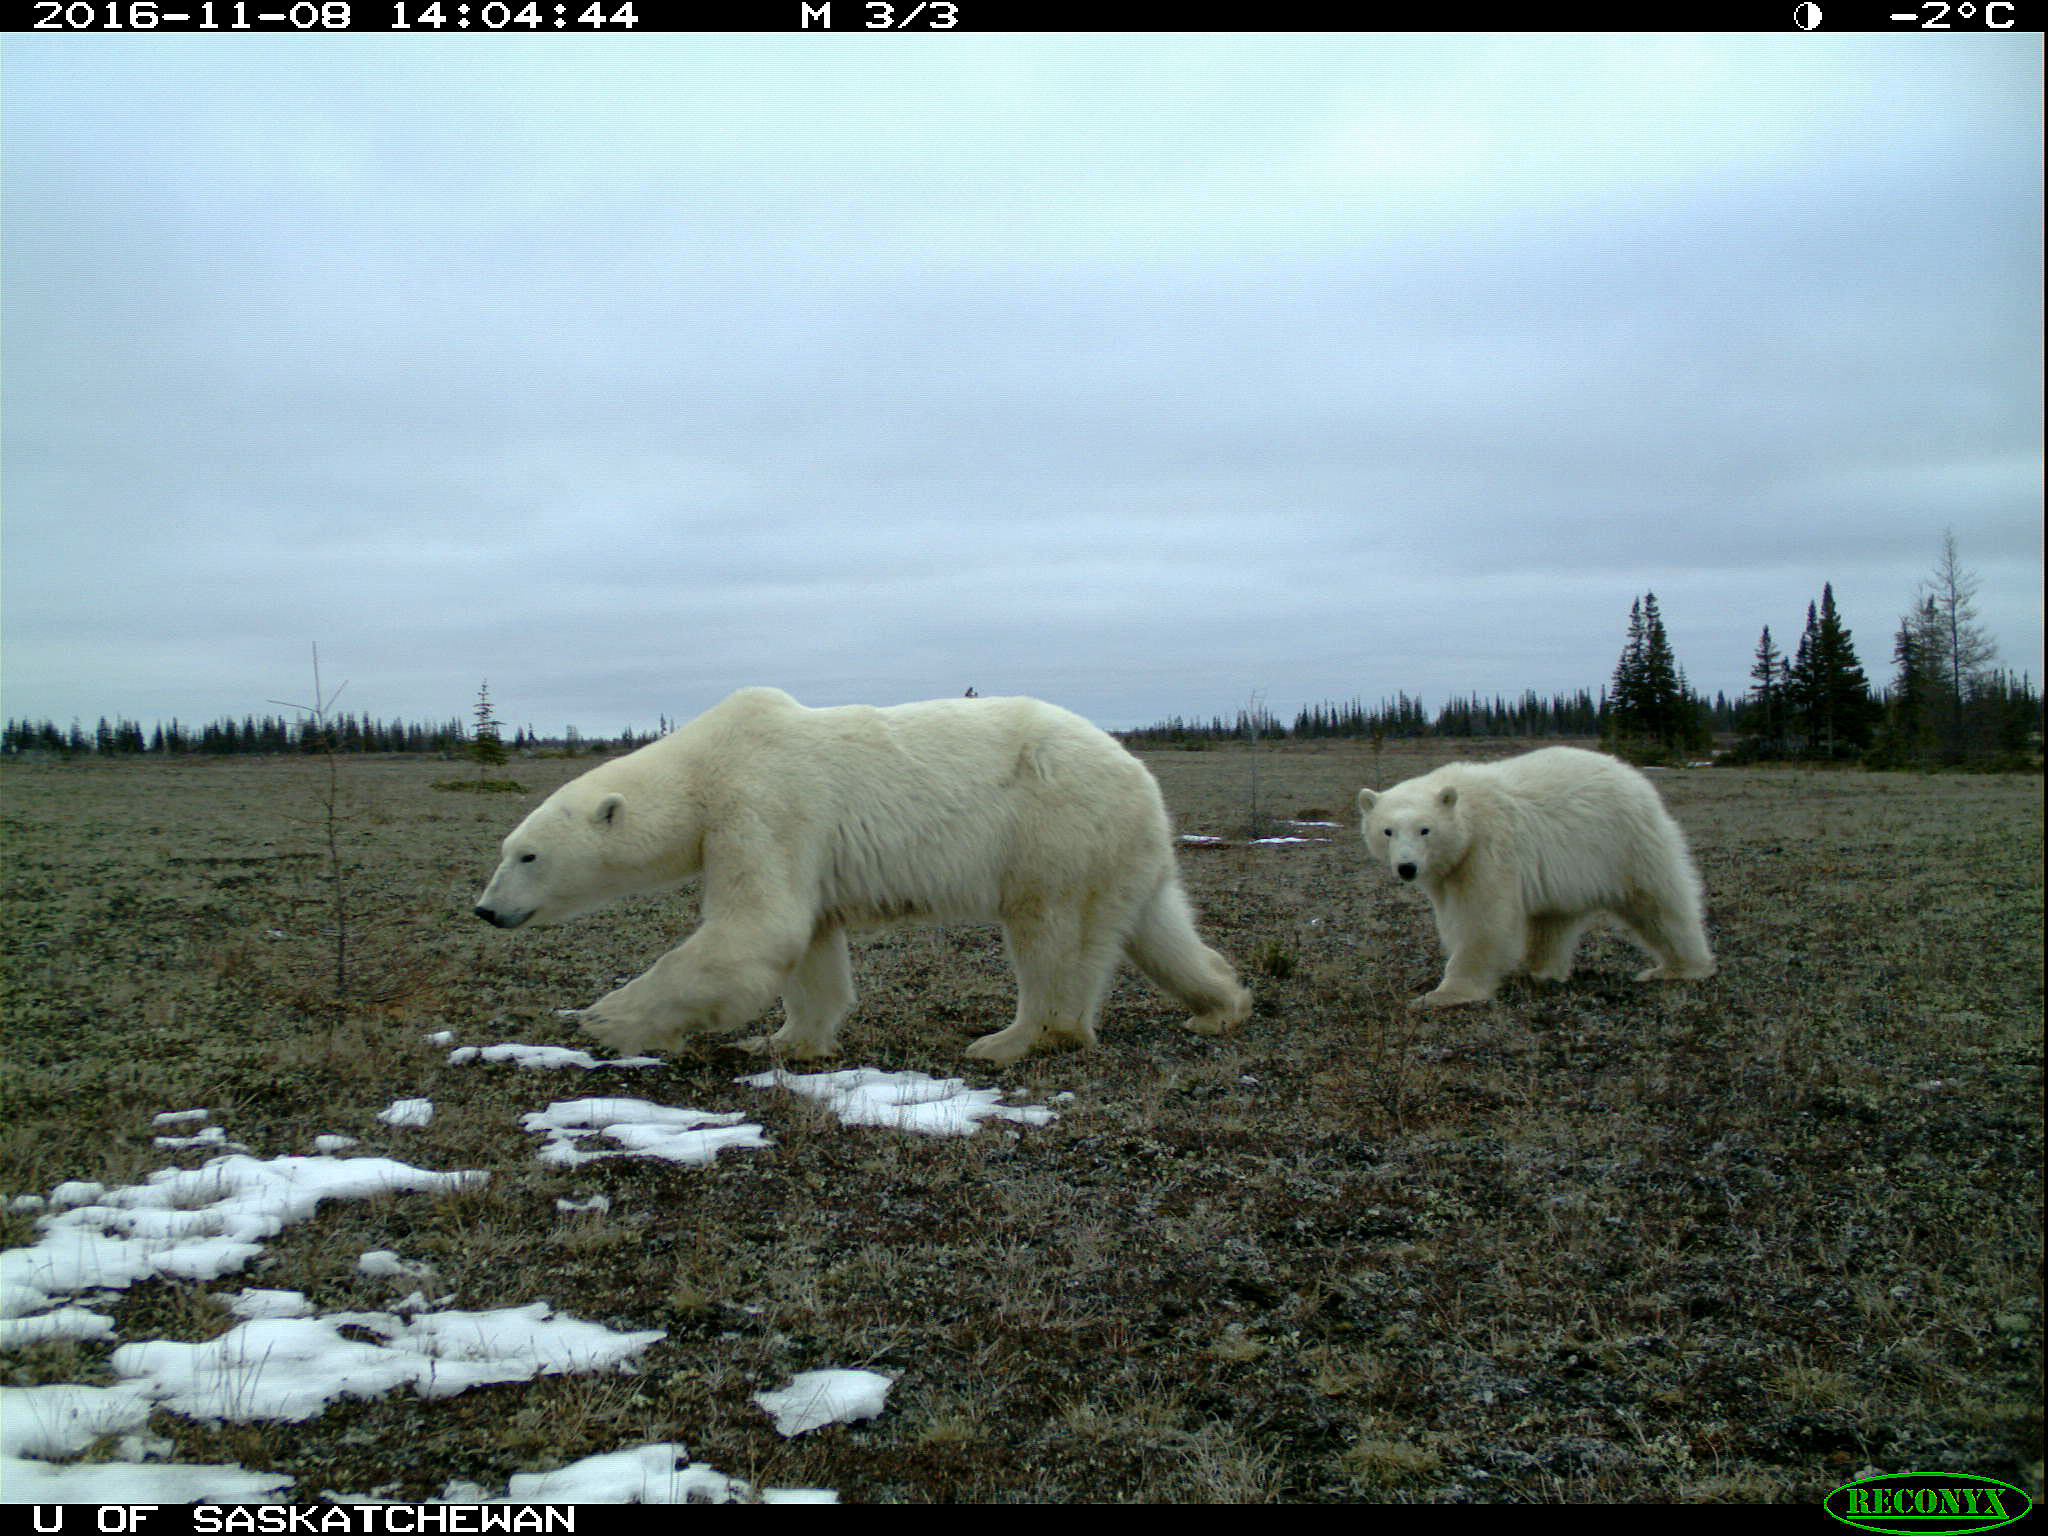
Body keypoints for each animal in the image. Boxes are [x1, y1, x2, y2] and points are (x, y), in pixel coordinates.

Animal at [475, 687, 1252, 1065]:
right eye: (506, 847)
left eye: (527, 855)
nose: (485, 910)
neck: (704, 765)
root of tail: (1139, 774)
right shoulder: (795, 842)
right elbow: (809, 943)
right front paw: (783, 1041)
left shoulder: (764, 803)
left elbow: (757, 928)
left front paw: (605, 1019)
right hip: (1121, 850)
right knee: (1156, 928)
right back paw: (1219, 1005)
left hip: (1055, 828)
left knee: (1052, 936)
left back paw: (1011, 1041)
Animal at [1355, 746, 1715, 1008]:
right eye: (1387, 830)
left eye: (1425, 829)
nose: (1407, 867)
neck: (1468, 812)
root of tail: (1632, 775)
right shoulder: (1451, 871)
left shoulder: (1487, 849)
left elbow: (1482, 919)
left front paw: (1443, 994)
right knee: (1552, 921)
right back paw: (1536, 969)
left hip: (1626, 842)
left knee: (1659, 902)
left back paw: (1678, 967)